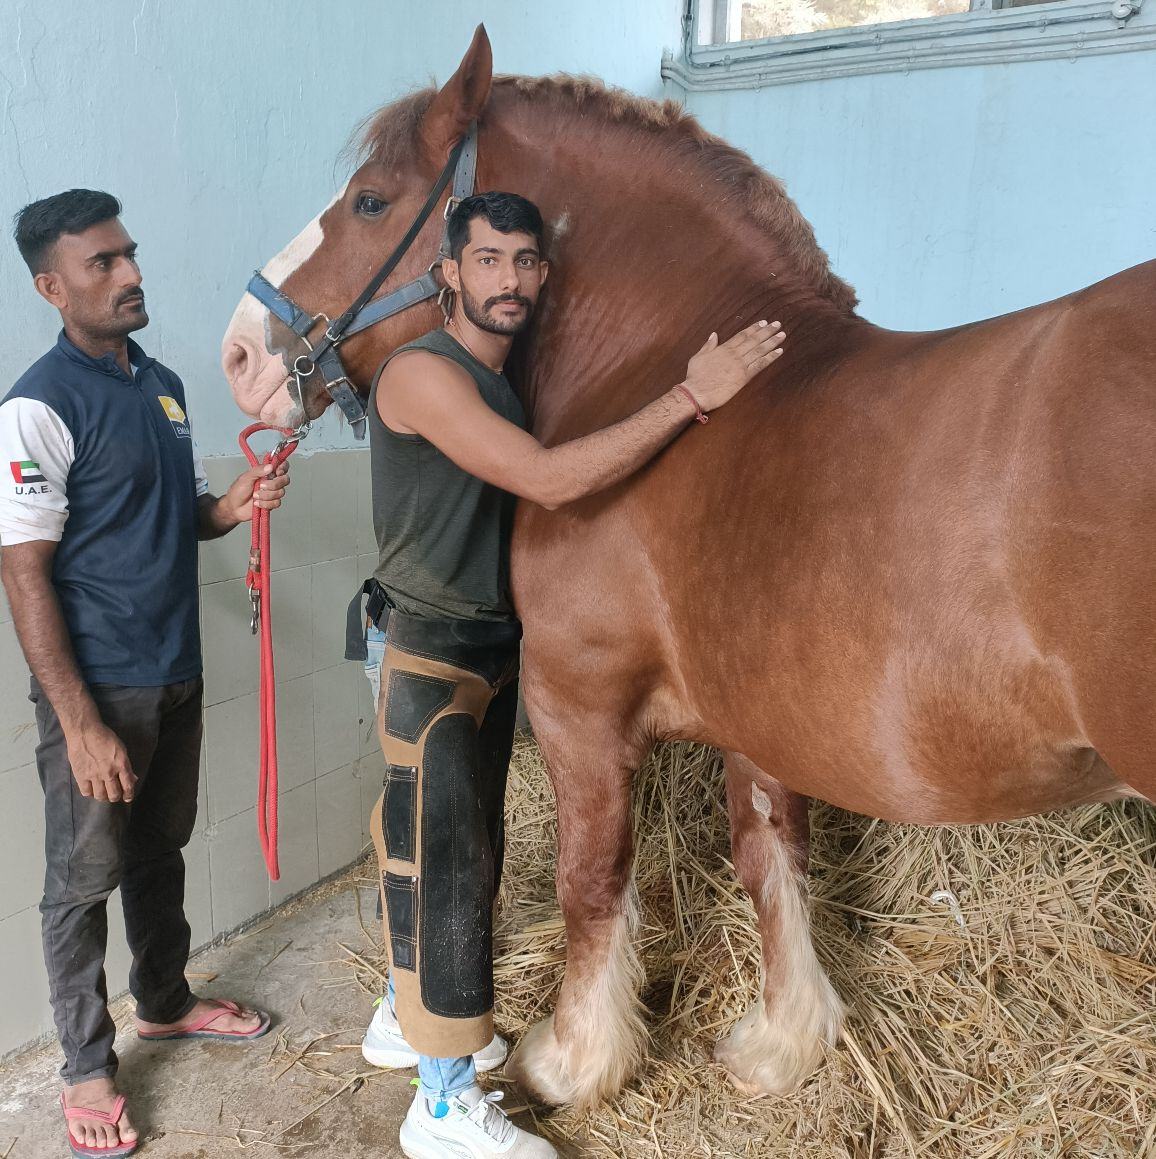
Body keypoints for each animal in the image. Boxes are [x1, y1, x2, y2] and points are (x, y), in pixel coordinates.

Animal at [221, 25, 1156, 1111]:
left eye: (371, 200)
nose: (241, 355)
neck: (662, 370)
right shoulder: (760, 717)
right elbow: (770, 861)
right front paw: (782, 1042)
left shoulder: (579, 706)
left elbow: (594, 879)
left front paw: (574, 1059)